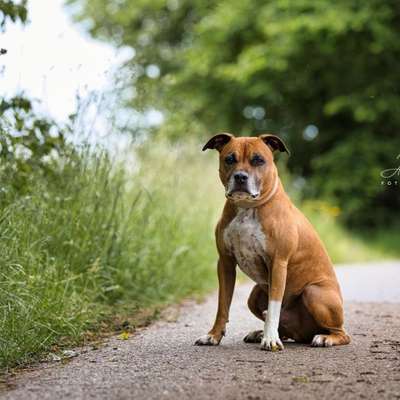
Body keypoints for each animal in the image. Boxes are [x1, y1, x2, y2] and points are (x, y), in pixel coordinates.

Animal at [195, 134, 350, 350]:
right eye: (230, 159)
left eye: (258, 160)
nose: (240, 177)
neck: (247, 207)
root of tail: (303, 334)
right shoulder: (225, 263)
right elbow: (222, 305)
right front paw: (213, 336)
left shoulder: (278, 263)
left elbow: (274, 307)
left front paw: (270, 339)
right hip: (254, 295)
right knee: (282, 326)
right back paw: (260, 333)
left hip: (314, 292)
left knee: (341, 333)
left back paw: (324, 338)